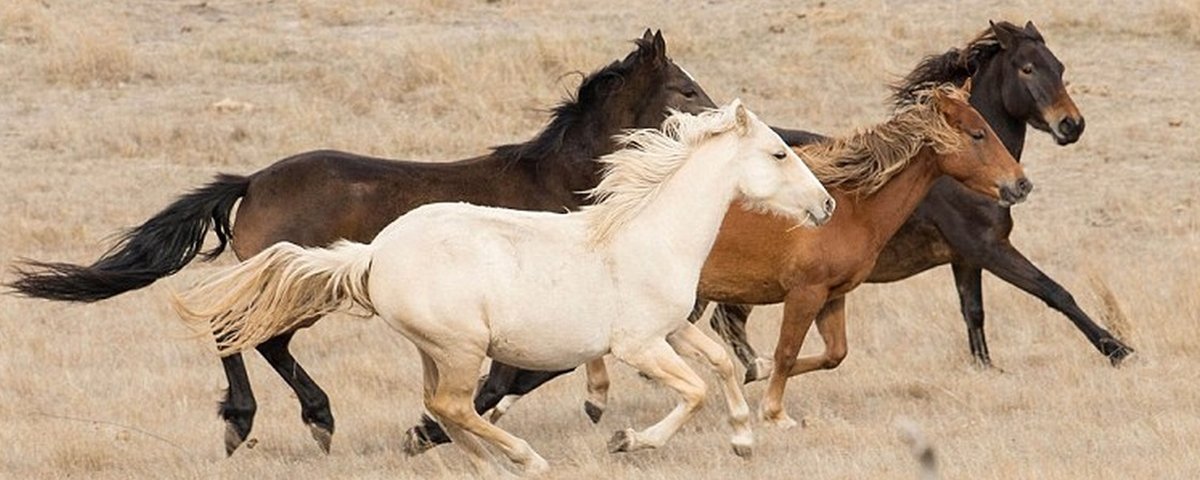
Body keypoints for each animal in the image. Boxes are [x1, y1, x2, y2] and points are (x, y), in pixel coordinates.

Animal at [4, 29, 715, 453]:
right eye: (685, 89)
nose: (724, 121)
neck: (560, 181)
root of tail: (252, 181)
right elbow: (523, 372)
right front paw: (430, 430)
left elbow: (529, 372)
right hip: (299, 287)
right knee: (238, 331)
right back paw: (261, 421)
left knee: (258, 339)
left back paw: (297, 420)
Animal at [175, 99, 835, 475]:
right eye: (779, 153)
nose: (826, 205)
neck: (649, 233)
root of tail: (375, 252)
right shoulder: (639, 345)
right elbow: (694, 390)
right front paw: (627, 440)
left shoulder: (671, 329)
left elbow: (721, 365)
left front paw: (743, 439)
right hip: (461, 348)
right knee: (452, 405)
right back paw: (524, 458)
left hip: (435, 350)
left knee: (444, 407)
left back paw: (485, 462)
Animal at [403, 18, 1132, 453]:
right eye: (978, 132)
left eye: (1061, 65)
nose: (1020, 185)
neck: (852, 201)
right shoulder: (827, 287)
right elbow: (1053, 293)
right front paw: (1116, 347)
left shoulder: (846, 293)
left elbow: (837, 353)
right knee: (514, 373)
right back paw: (444, 430)